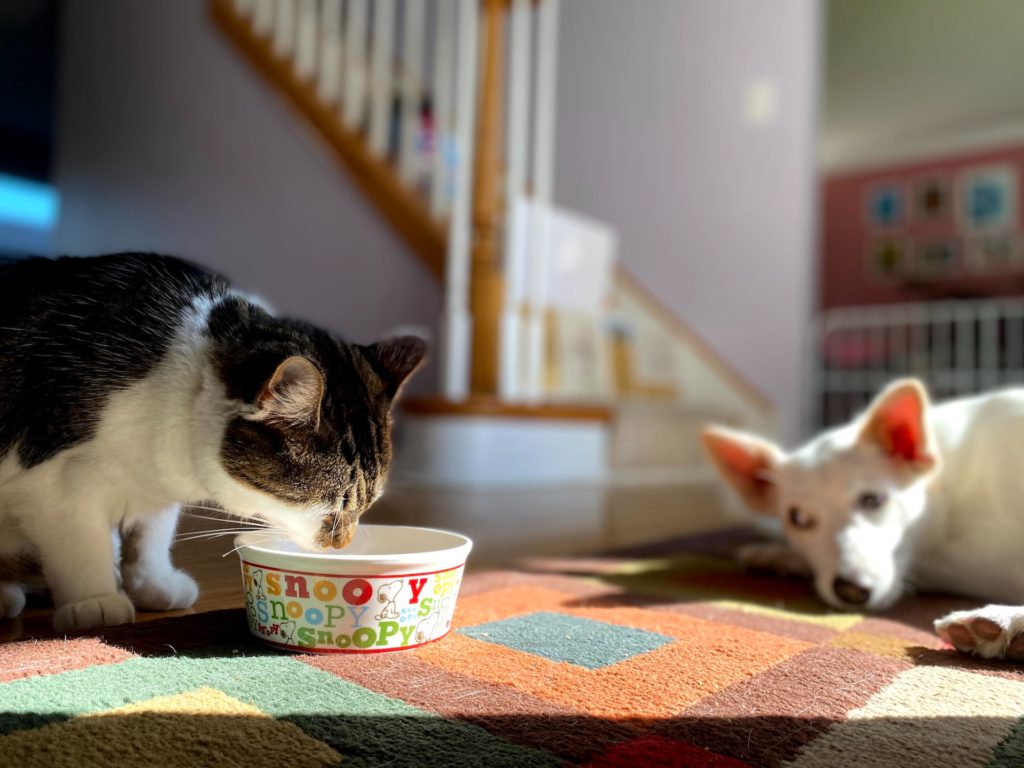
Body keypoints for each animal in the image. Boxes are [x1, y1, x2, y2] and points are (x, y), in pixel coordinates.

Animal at [0, 252, 423, 630]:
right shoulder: (56, 485)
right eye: (330, 503)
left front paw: (153, 583)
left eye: (367, 505)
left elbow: (150, 534)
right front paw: (95, 599)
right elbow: (82, 544)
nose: (343, 544)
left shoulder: (153, 486)